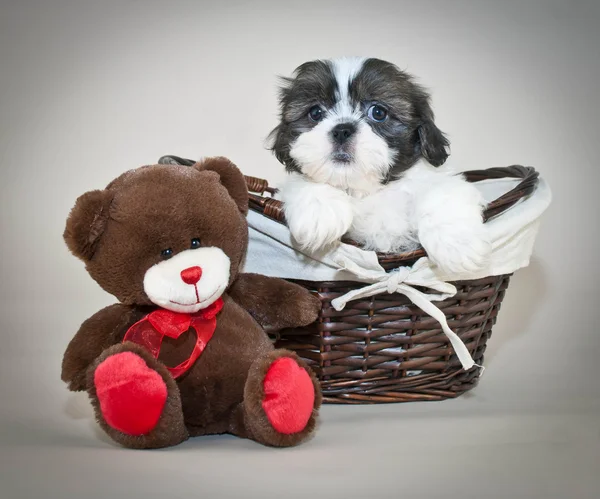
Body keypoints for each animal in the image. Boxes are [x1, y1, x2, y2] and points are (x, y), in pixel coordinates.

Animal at [270, 58, 490, 278]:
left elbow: (442, 191)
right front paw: (320, 213)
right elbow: (303, 181)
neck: (367, 190)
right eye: (315, 112)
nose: (342, 130)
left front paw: (457, 245)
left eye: (378, 112)